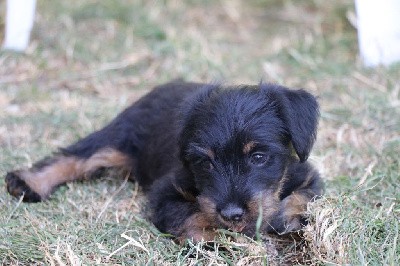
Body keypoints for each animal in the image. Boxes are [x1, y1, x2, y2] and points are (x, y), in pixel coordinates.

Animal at [4, 80, 324, 241]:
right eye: (205, 163)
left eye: (258, 157)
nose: (231, 214)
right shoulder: (164, 195)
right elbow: (191, 215)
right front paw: (212, 237)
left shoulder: (309, 176)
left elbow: (305, 196)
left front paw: (287, 216)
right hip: (118, 137)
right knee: (74, 157)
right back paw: (28, 182)